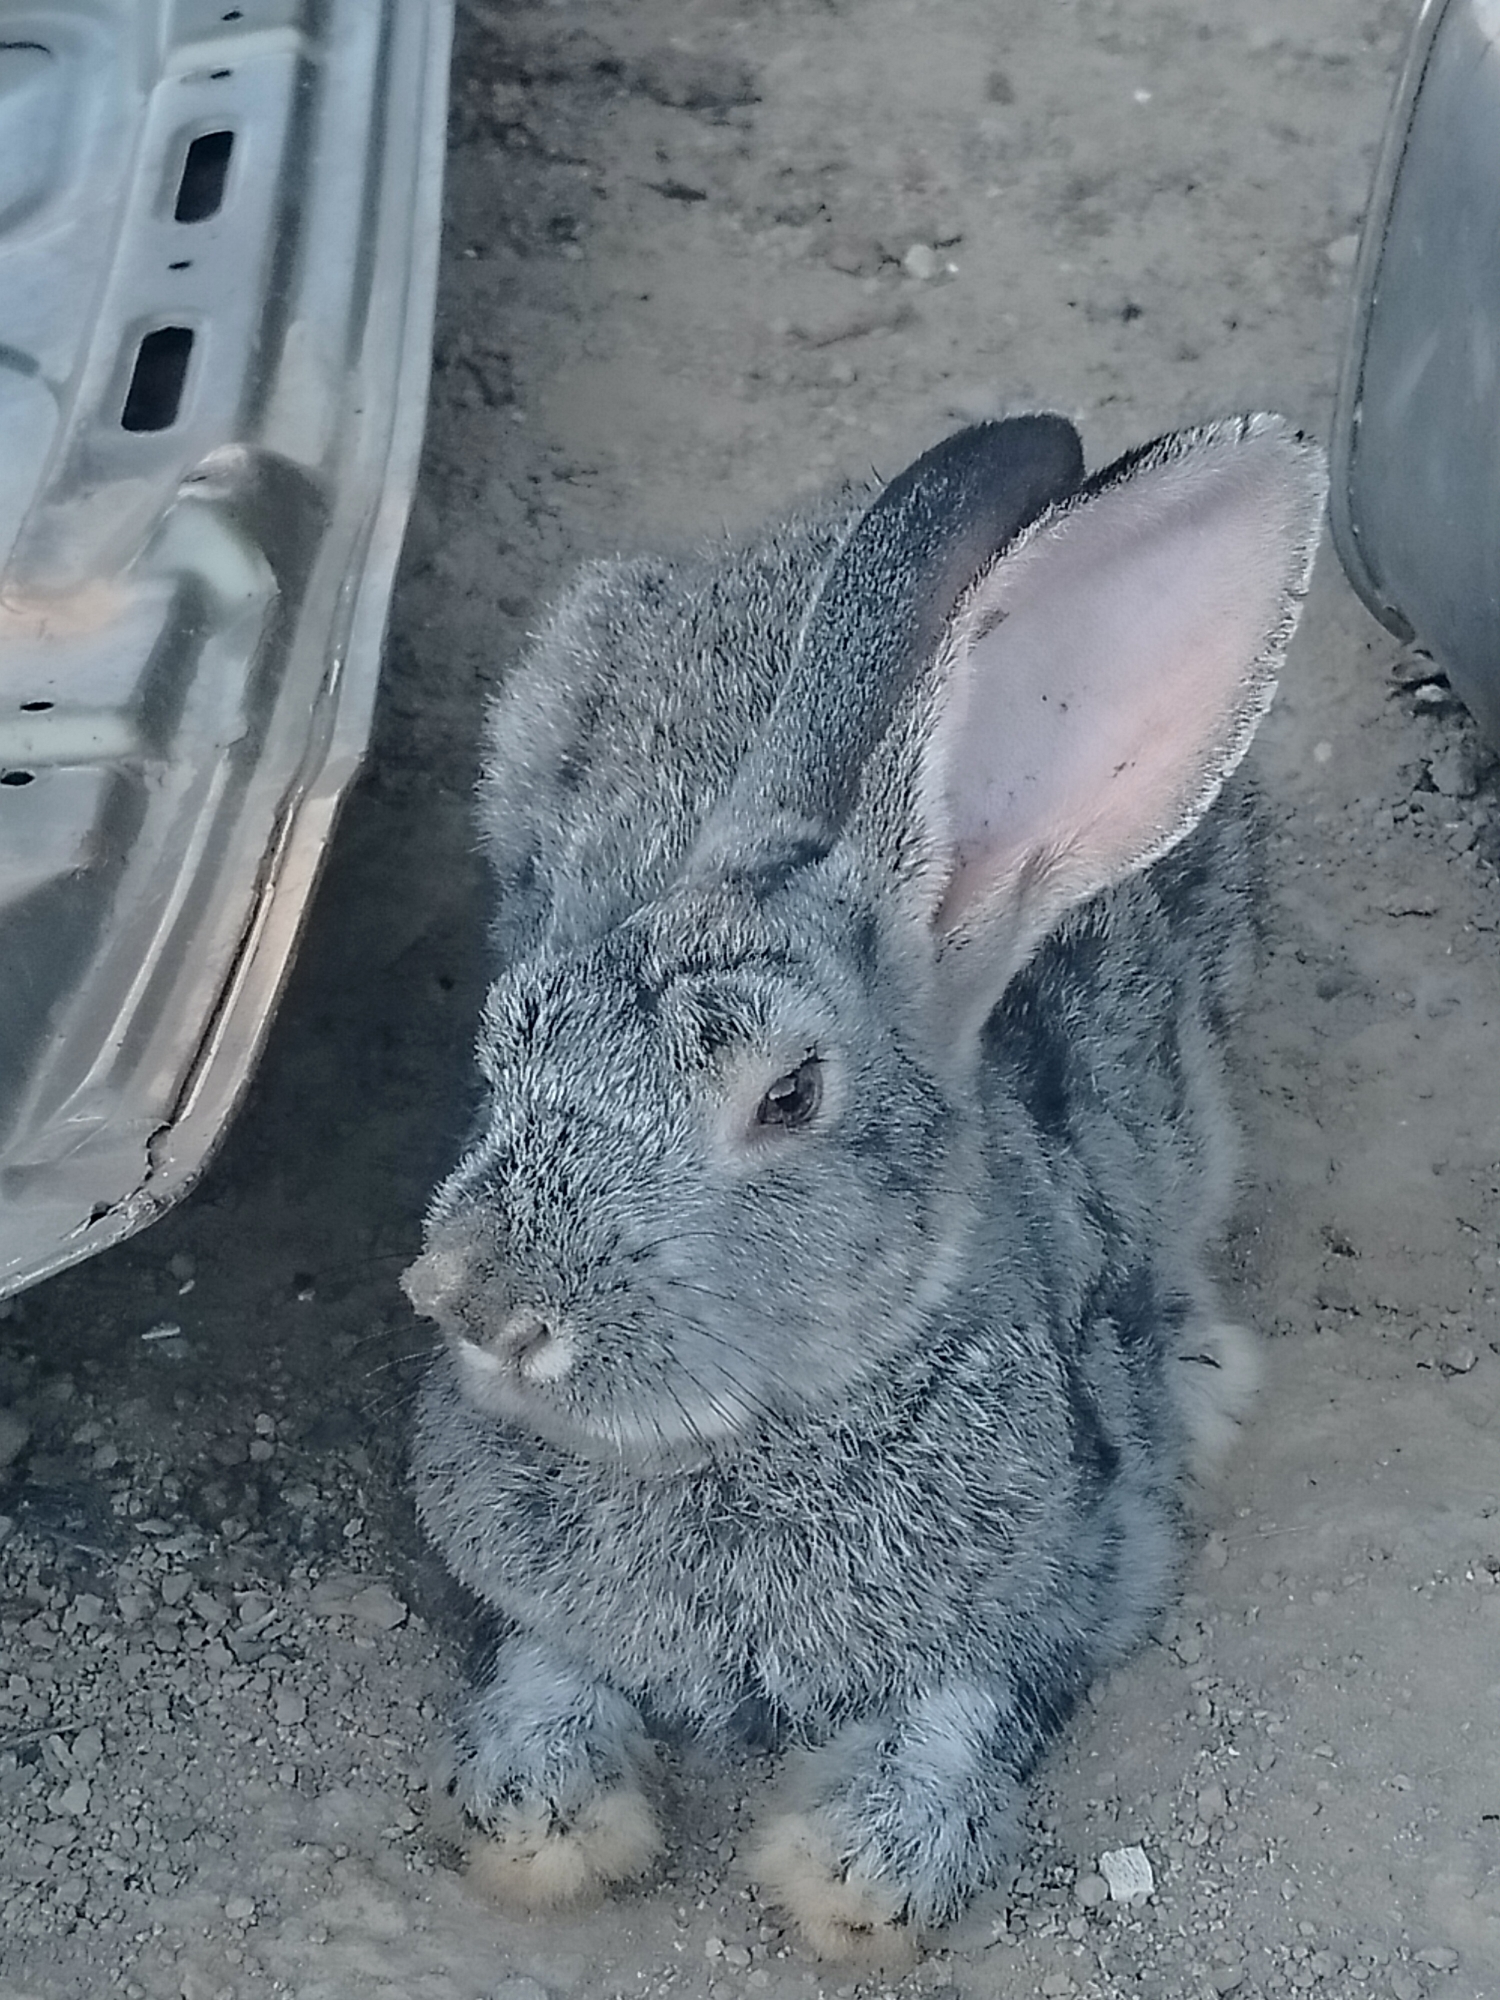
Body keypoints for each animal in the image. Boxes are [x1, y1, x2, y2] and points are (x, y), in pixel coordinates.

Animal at [405, 412, 1325, 1963]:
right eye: (507, 1036)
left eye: (787, 1098)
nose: (470, 1293)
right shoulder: (536, 1605)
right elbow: (543, 1680)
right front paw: (545, 1828)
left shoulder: (1057, 1581)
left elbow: (961, 1719)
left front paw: (849, 1879)